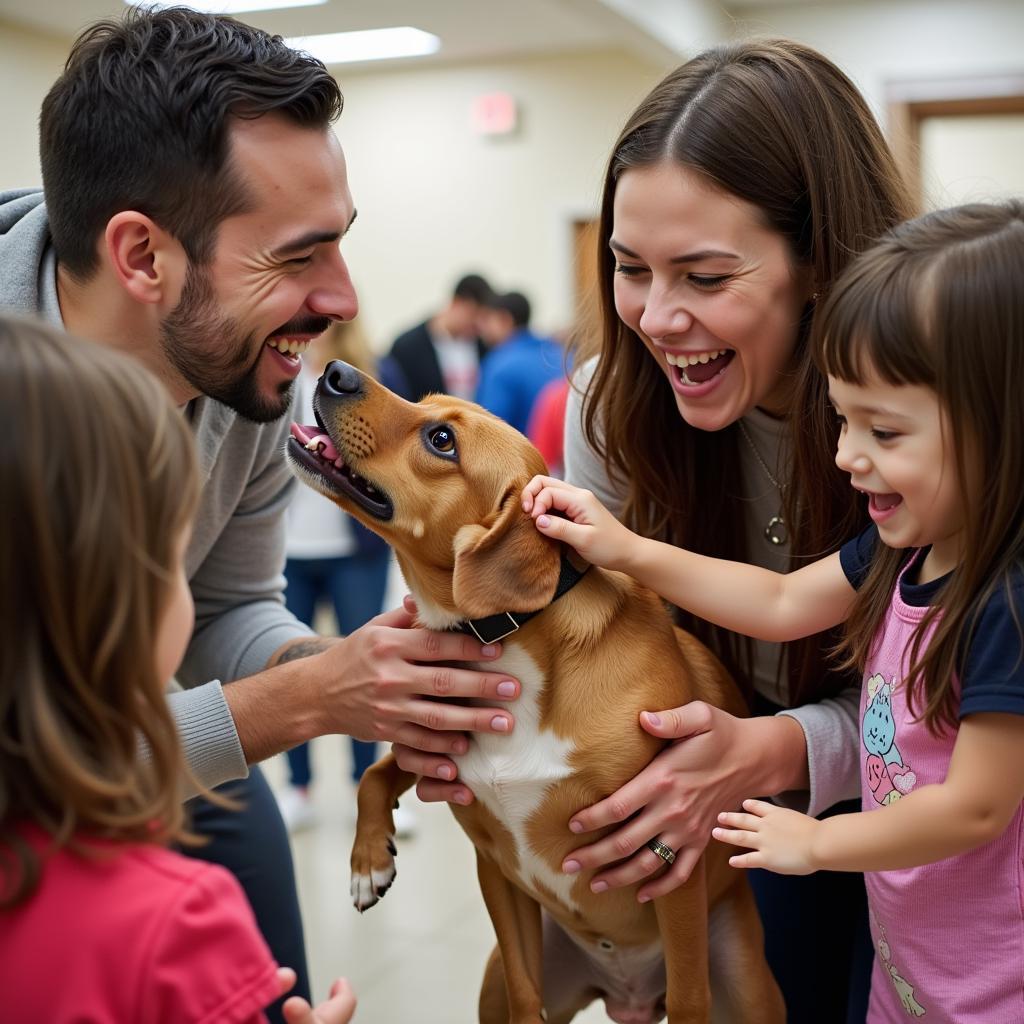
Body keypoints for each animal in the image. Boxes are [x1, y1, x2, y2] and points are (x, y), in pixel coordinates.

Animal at [284, 362, 778, 1024]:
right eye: (427, 401)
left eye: (442, 440)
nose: (335, 372)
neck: (515, 642)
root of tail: (628, 993)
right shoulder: (495, 869)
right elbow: (379, 769)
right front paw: (369, 860)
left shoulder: (675, 860)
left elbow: (689, 996)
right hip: (502, 976)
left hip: (749, 984)